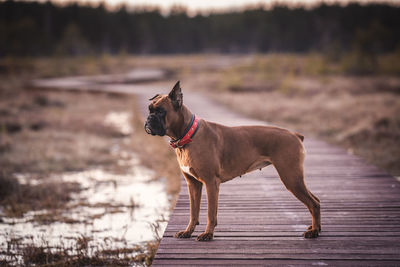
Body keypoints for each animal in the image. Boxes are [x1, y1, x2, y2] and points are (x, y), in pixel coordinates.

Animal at [145, 81, 320, 241]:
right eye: (150, 109)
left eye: (160, 111)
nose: (149, 119)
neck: (188, 134)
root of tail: (295, 134)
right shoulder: (193, 184)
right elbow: (193, 212)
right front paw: (188, 231)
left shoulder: (211, 183)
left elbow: (210, 212)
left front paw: (208, 234)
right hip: (294, 179)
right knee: (315, 200)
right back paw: (314, 228)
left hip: (291, 178)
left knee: (313, 203)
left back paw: (314, 231)